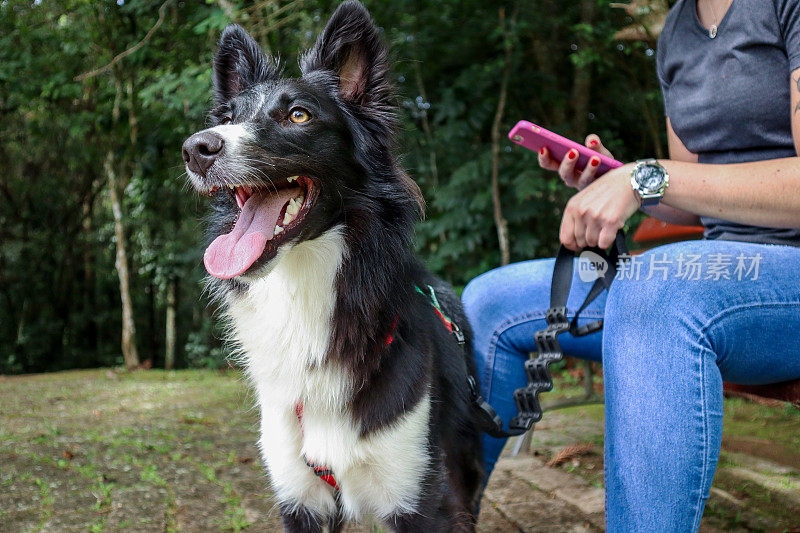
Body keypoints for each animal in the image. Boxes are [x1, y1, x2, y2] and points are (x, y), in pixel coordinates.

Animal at [181, 3, 482, 528]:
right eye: (230, 116)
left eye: (298, 114)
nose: (196, 148)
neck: (304, 286)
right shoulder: (299, 496)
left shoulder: (421, 498)